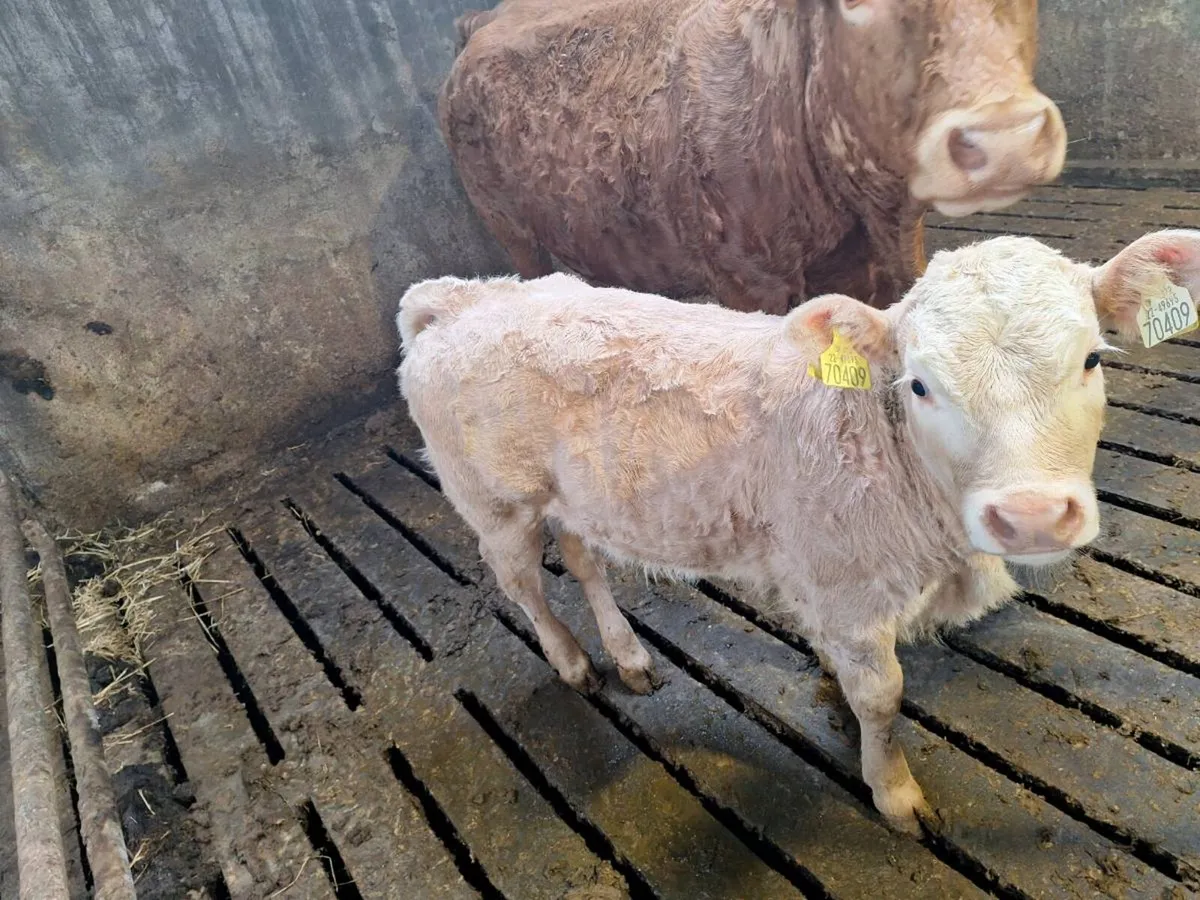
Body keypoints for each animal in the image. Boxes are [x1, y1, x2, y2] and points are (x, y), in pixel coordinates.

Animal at [395, 228, 1200, 834]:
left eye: (1092, 358)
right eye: (919, 384)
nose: (1031, 515)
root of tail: (463, 296)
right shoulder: (849, 593)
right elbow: (882, 698)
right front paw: (895, 792)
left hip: (572, 499)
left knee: (584, 561)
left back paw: (627, 656)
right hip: (495, 502)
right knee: (525, 585)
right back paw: (571, 661)